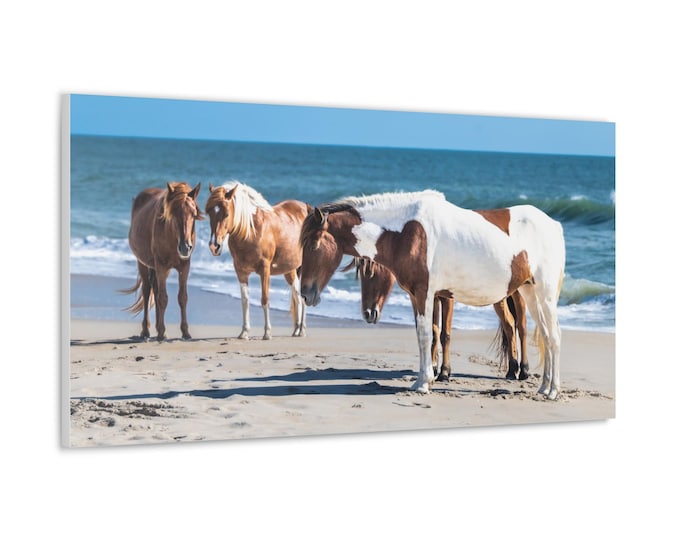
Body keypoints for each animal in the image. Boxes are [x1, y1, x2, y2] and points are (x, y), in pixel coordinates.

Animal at [122, 181, 203, 341]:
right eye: (173, 213)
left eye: (193, 214)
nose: (185, 247)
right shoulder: (161, 265)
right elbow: (163, 298)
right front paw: (160, 332)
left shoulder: (184, 266)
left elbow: (182, 297)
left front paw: (185, 332)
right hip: (143, 264)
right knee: (147, 292)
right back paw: (146, 331)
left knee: (156, 290)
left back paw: (160, 330)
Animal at [205, 181, 308, 340]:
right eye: (209, 213)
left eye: (226, 214)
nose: (214, 246)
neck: (250, 231)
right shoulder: (240, 271)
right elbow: (245, 301)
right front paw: (244, 332)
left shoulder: (265, 270)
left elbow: (265, 300)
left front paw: (267, 333)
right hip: (289, 269)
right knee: (297, 296)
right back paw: (296, 329)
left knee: (303, 297)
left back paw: (302, 330)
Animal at [346, 257, 528, 381]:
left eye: (371, 272)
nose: (368, 313)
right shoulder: (430, 298)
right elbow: (433, 332)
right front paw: (433, 368)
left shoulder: (446, 298)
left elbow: (444, 335)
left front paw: (445, 372)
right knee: (509, 325)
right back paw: (512, 370)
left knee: (521, 327)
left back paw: (524, 370)